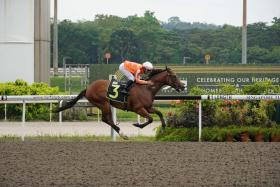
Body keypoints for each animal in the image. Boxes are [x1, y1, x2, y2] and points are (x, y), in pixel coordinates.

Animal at [55, 67, 185, 139]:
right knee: (106, 119)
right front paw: (137, 125)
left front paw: (163, 128)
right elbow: (150, 119)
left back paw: (121, 133)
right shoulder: (138, 108)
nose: (183, 86)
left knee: (108, 120)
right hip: (104, 103)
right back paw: (122, 133)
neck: (147, 88)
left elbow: (159, 113)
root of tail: (88, 88)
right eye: (174, 76)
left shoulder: (148, 107)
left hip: (104, 104)